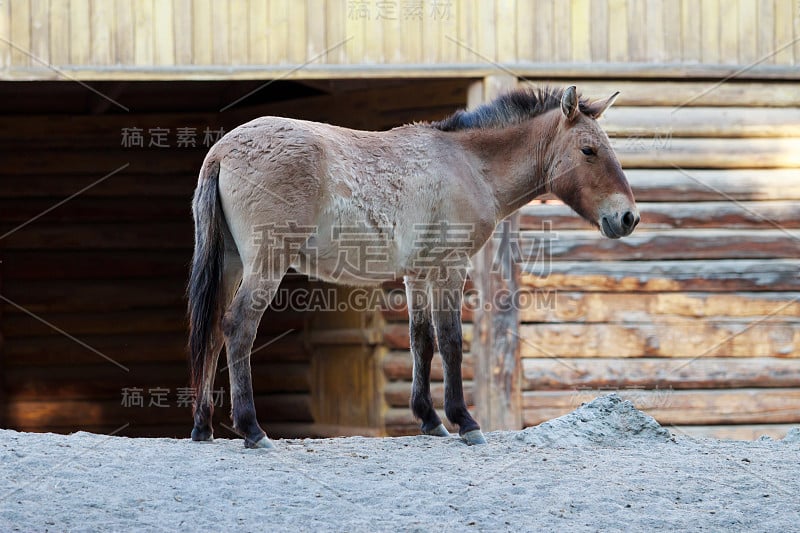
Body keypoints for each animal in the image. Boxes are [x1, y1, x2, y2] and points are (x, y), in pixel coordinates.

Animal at [186, 85, 636, 446]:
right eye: (589, 151)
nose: (628, 217)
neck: (469, 164)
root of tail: (221, 152)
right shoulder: (450, 267)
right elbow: (452, 341)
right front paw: (464, 421)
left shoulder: (418, 274)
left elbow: (422, 340)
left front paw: (430, 419)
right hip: (266, 263)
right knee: (238, 327)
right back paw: (251, 429)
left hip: (231, 265)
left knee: (213, 331)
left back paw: (203, 426)